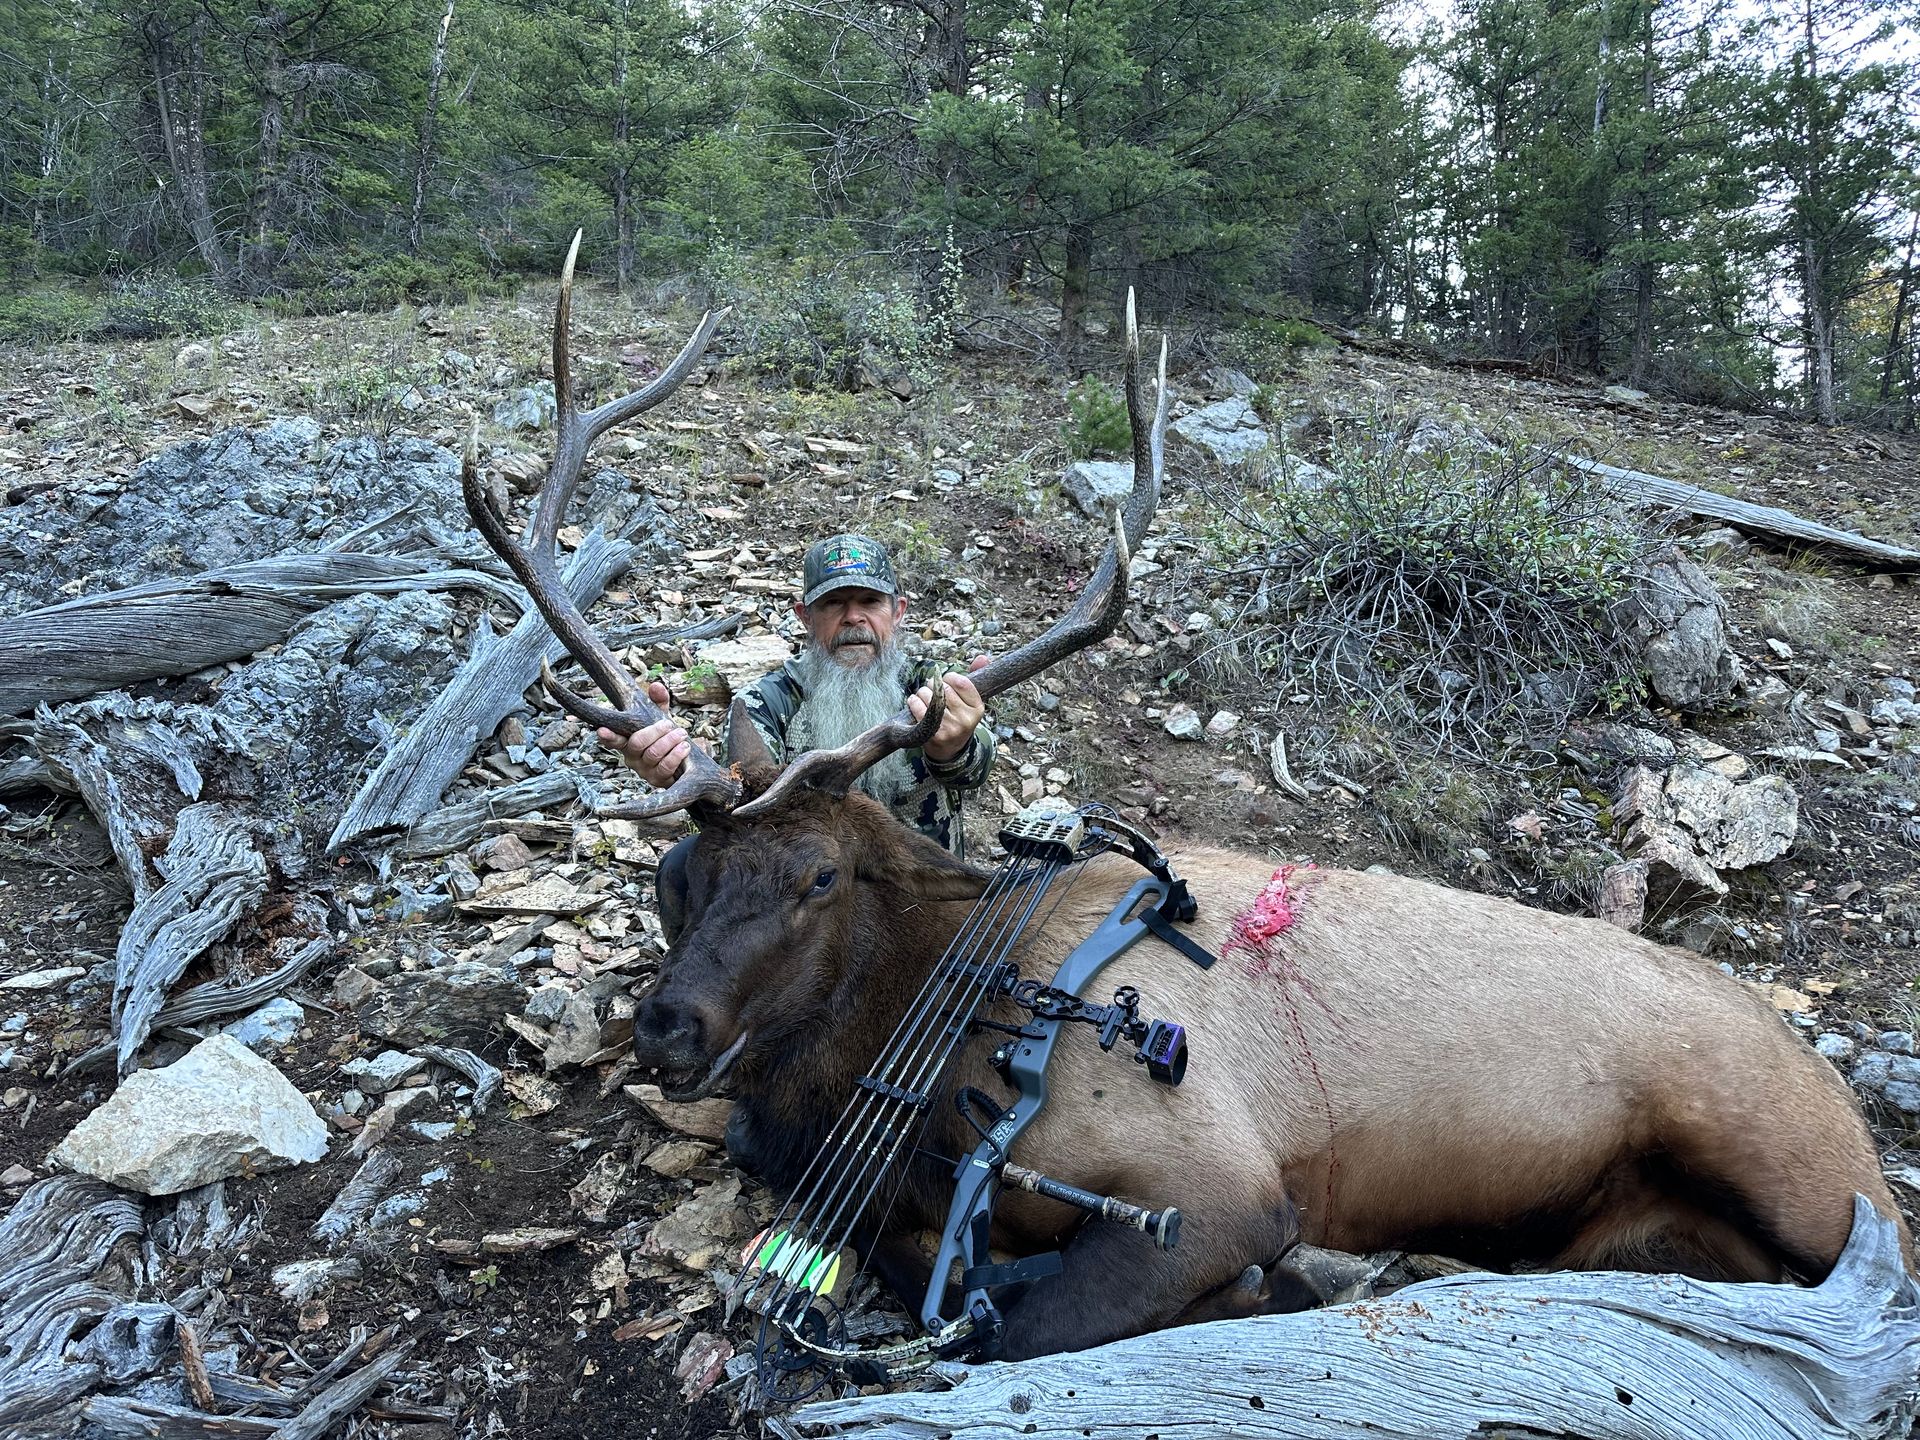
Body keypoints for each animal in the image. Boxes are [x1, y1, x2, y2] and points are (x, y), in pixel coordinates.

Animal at [463, 235, 1912, 1362]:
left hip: (1797, 1164)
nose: (667, 1024)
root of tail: (1836, 1092)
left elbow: (1032, 1321)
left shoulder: (1211, 1183)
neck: (932, 1031)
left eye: (819, 875)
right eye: (680, 877)